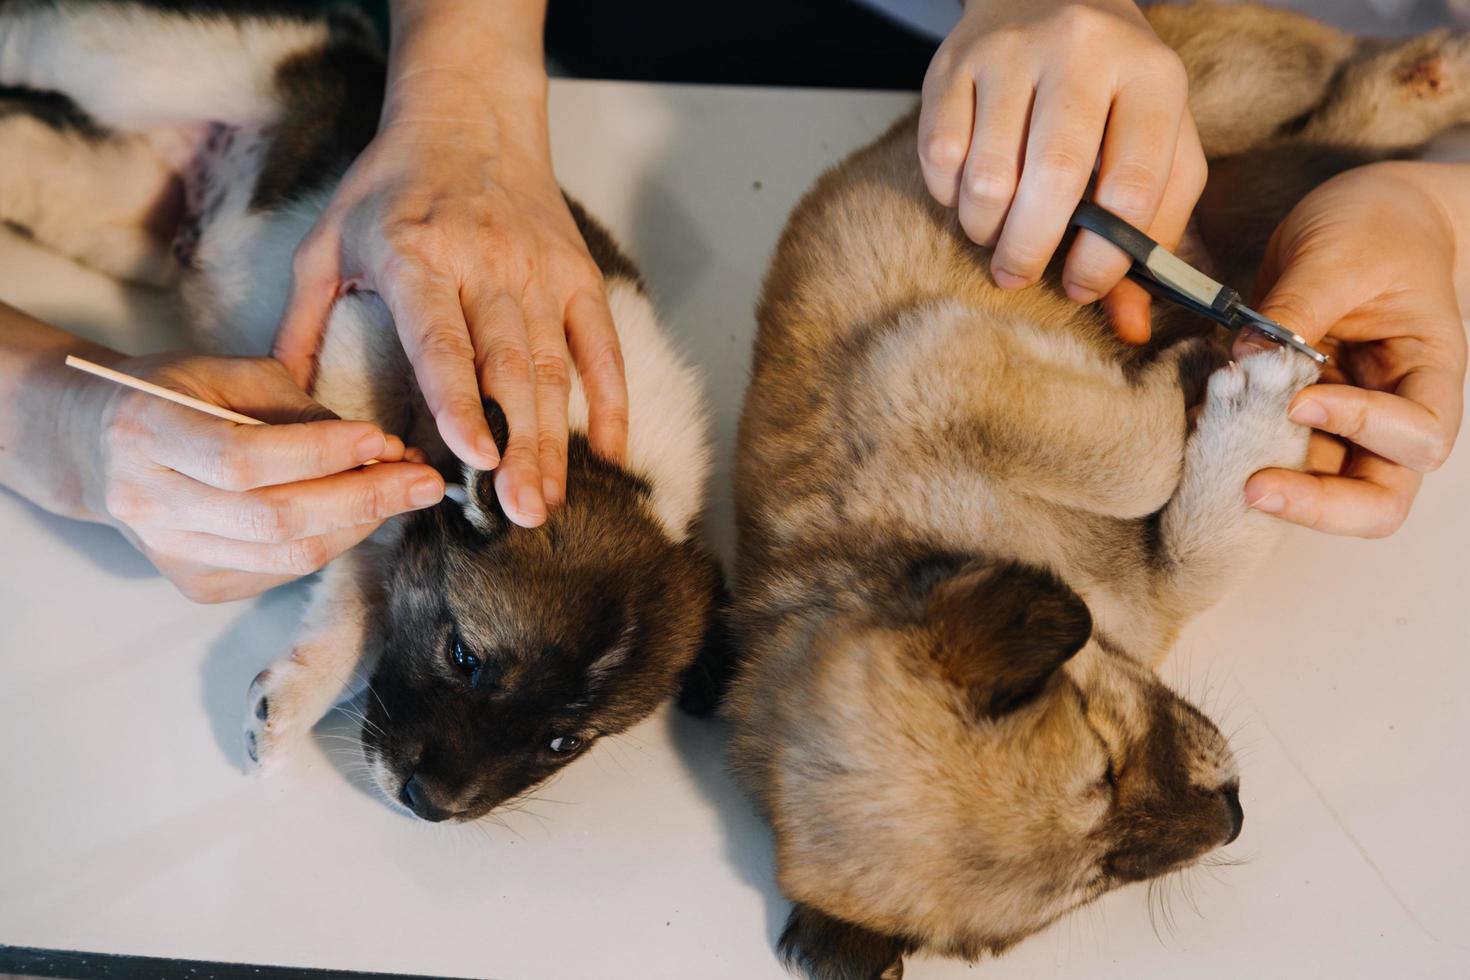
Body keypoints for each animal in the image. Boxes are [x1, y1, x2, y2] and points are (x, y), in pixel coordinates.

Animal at [717, 3, 1470, 975]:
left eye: (1106, 759)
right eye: (1095, 880)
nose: (1234, 817)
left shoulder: (931, 361)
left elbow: (1135, 458)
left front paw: (1209, 381)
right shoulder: (1154, 590)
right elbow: (1203, 531)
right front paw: (1248, 418)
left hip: (1197, 118)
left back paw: (1427, 78)